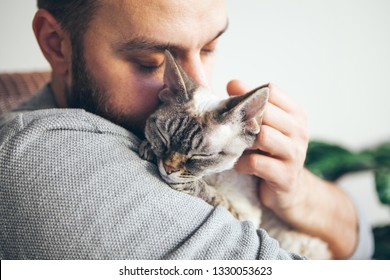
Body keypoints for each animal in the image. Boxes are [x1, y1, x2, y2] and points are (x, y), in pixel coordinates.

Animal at [139, 50, 330, 260]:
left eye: (202, 155)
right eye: (163, 137)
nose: (168, 168)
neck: (212, 176)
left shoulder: (246, 216)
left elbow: (216, 198)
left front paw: (190, 184)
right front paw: (149, 148)